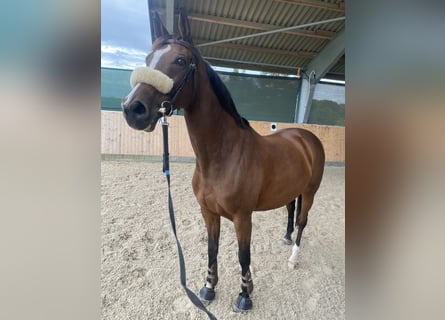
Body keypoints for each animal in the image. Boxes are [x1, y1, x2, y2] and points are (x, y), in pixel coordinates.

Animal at [119, 11, 324, 314]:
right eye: (148, 59)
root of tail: (306, 137)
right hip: (291, 190)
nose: (133, 109)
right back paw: (286, 238)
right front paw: (208, 288)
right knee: (290, 211)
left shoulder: (242, 218)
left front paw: (245, 296)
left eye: (180, 60)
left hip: (310, 192)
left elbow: (243, 256)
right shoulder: (208, 212)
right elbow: (212, 249)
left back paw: (293, 257)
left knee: (302, 220)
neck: (223, 157)